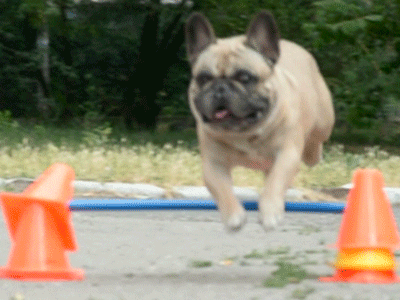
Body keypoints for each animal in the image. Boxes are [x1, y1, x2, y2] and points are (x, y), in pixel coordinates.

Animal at [184, 11, 334, 232]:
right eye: (203, 78)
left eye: (245, 77)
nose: (220, 88)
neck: (247, 133)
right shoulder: (213, 165)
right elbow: (222, 190)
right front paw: (233, 215)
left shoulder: (287, 155)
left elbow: (276, 182)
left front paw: (270, 212)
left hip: (324, 124)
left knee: (314, 145)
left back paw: (313, 152)